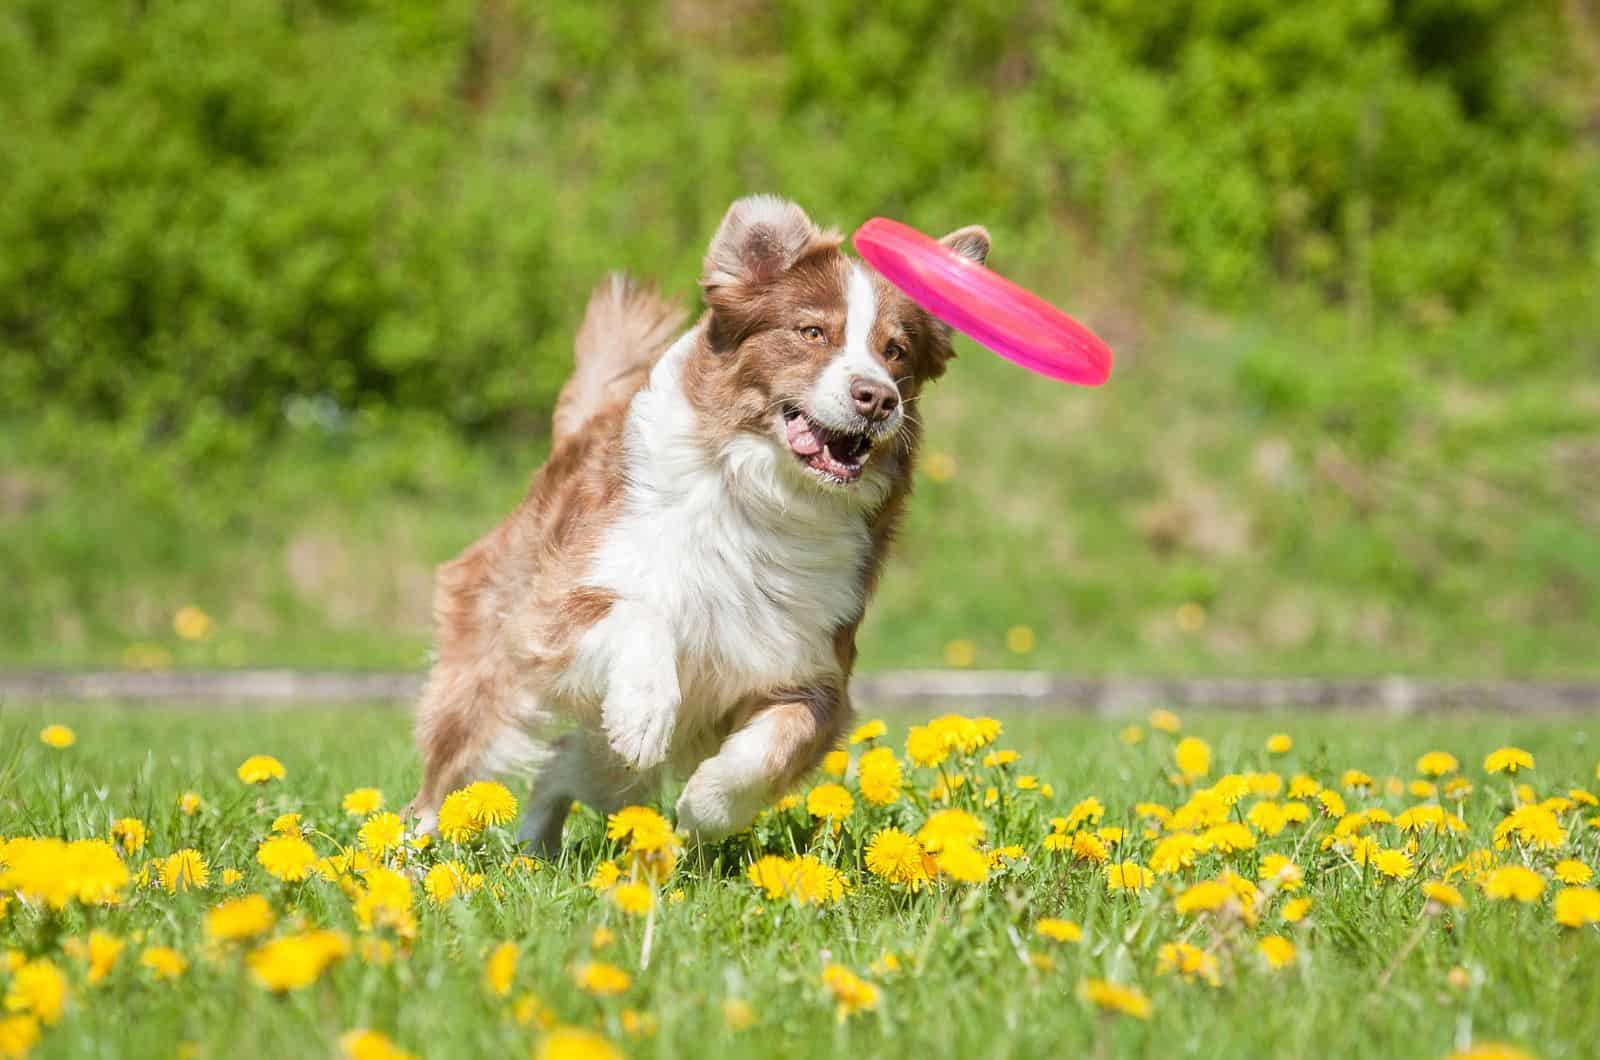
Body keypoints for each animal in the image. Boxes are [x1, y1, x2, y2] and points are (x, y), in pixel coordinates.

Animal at [406, 192, 985, 858]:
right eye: (812, 332)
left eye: (895, 352)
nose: (878, 398)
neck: (769, 498)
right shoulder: (557, 606)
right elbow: (641, 614)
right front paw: (644, 714)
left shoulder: (814, 668)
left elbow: (769, 749)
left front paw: (702, 808)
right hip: (494, 659)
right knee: (448, 771)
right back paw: (410, 858)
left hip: (597, 758)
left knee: (563, 768)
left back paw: (539, 852)